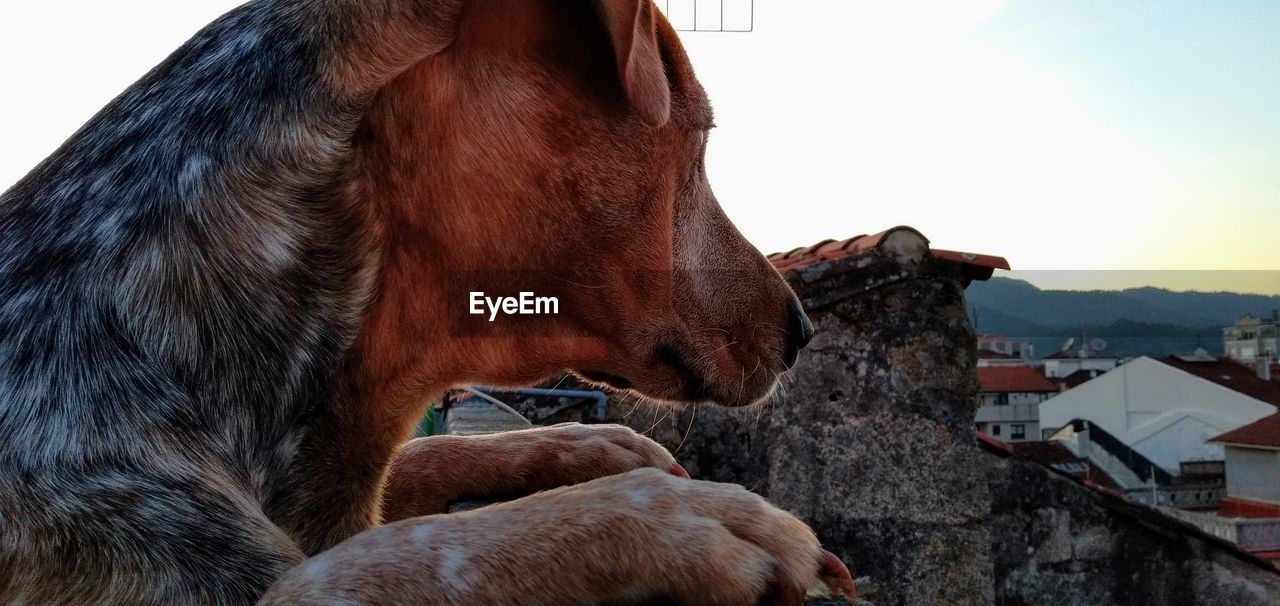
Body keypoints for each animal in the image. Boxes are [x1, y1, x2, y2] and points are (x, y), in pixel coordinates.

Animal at [5, 0, 855, 602]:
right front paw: (665, 516)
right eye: (702, 140)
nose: (803, 328)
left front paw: (588, 448)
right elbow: (399, 558)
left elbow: (420, 459)